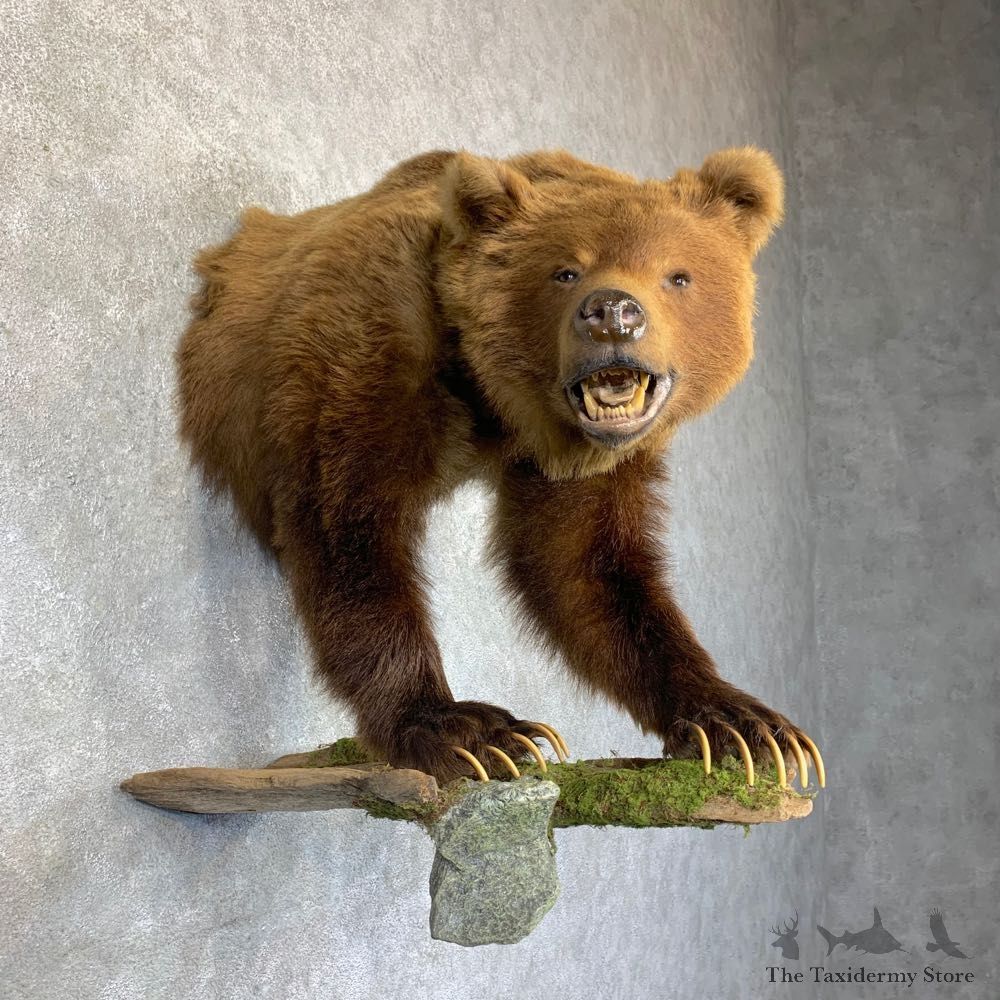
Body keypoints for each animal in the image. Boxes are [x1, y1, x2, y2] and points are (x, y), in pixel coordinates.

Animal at [176, 147, 823, 785]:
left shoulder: (591, 463)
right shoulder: (371, 342)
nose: (614, 313)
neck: (492, 398)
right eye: (564, 270)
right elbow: (351, 528)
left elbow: (587, 567)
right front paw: (470, 731)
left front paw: (744, 725)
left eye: (677, 274)